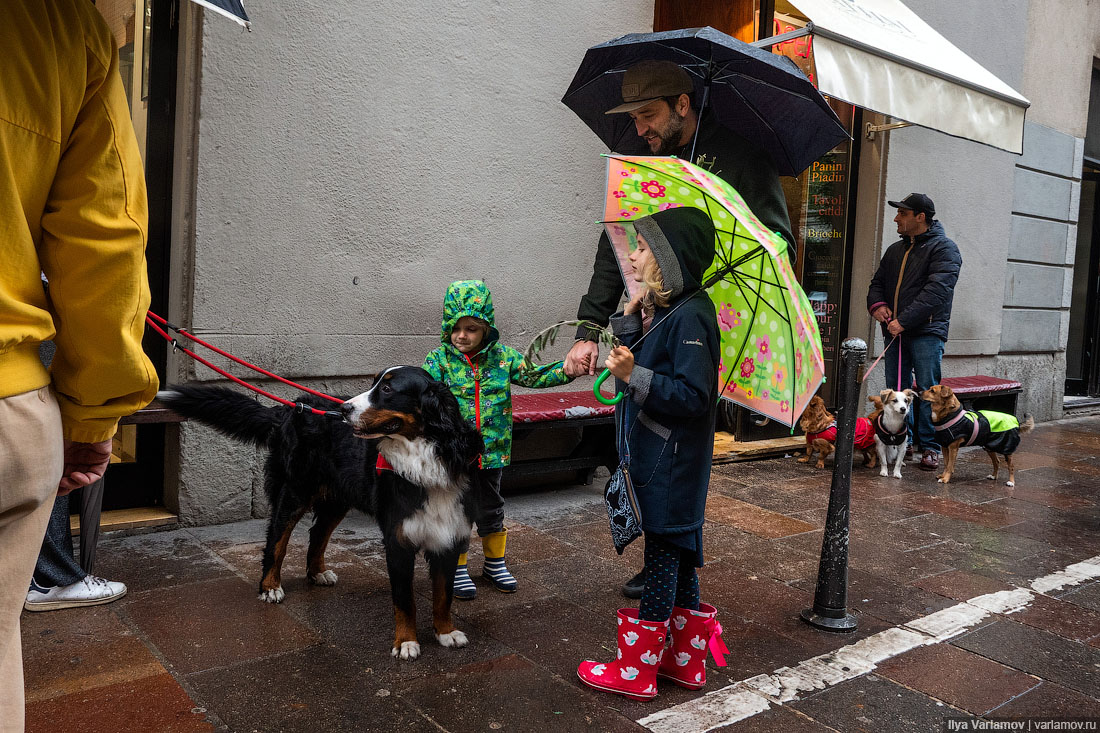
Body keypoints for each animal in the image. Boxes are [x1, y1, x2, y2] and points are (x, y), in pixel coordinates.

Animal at [158, 365, 481, 655]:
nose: (345, 410)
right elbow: (405, 601)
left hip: (337, 499)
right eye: (374, 384)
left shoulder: (449, 534)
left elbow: (443, 595)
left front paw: (446, 632)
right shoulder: (398, 539)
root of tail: (293, 409)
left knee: (317, 533)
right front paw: (406, 643)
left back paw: (316, 573)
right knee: (276, 540)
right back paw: (270, 586)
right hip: (295, 491)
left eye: (388, 389)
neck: (424, 460)